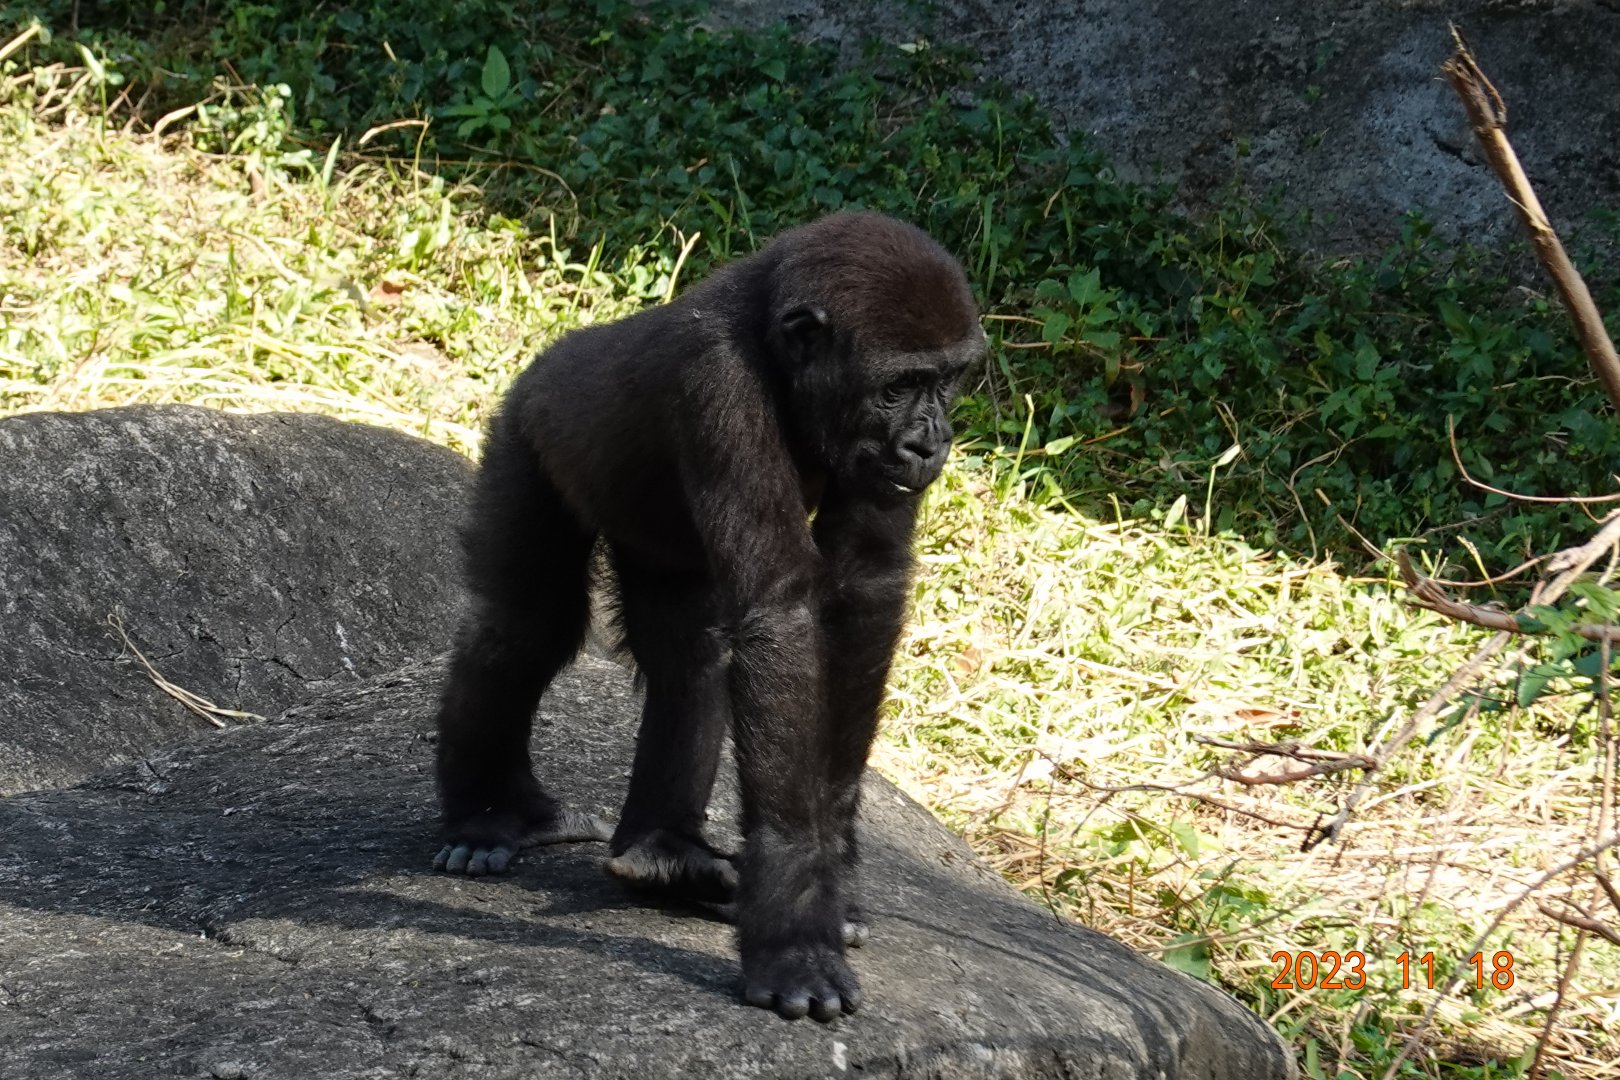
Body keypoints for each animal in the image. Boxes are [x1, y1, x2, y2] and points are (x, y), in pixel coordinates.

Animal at [431, 211, 985, 1022]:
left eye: (947, 381)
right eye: (897, 388)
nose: (928, 443)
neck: (775, 345)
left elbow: (863, 592)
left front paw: (833, 865)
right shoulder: (718, 387)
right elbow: (781, 616)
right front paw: (793, 923)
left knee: (689, 657)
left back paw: (665, 853)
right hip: (526, 426)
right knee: (523, 629)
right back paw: (491, 817)